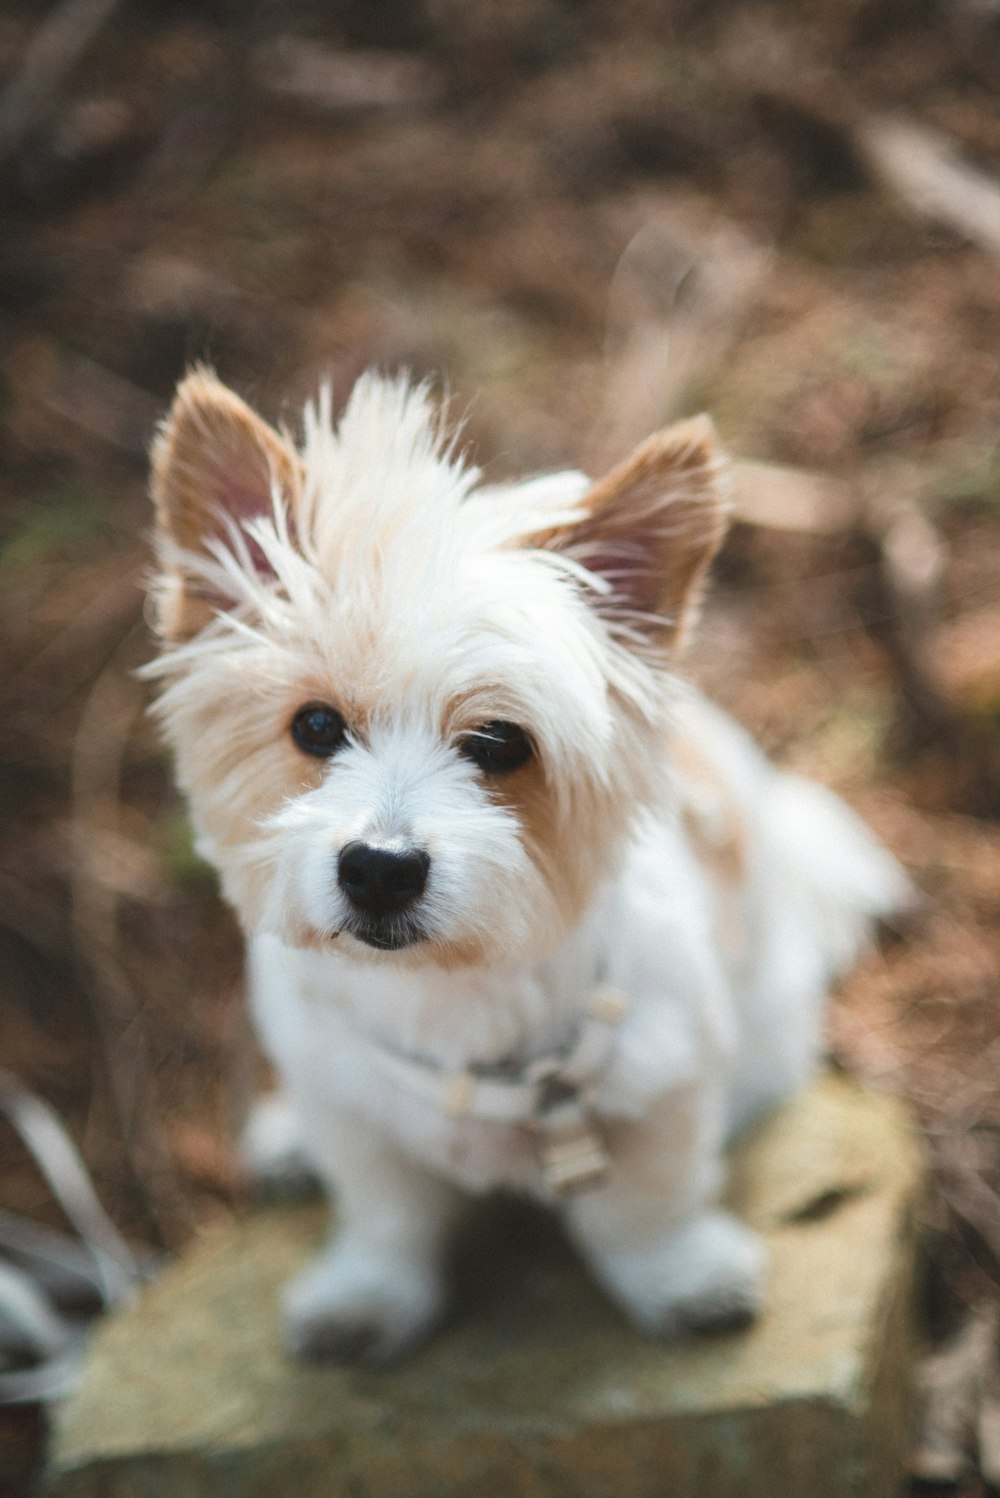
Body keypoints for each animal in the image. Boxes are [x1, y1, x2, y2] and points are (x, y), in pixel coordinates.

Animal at [144, 368, 910, 1366]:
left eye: (500, 743)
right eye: (314, 725)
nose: (379, 869)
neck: (453, 995)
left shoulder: (662, 1085)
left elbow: (645, 1207)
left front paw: (681, 1278)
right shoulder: (348, 1104)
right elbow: (386, 1214)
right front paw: (368, 1296)